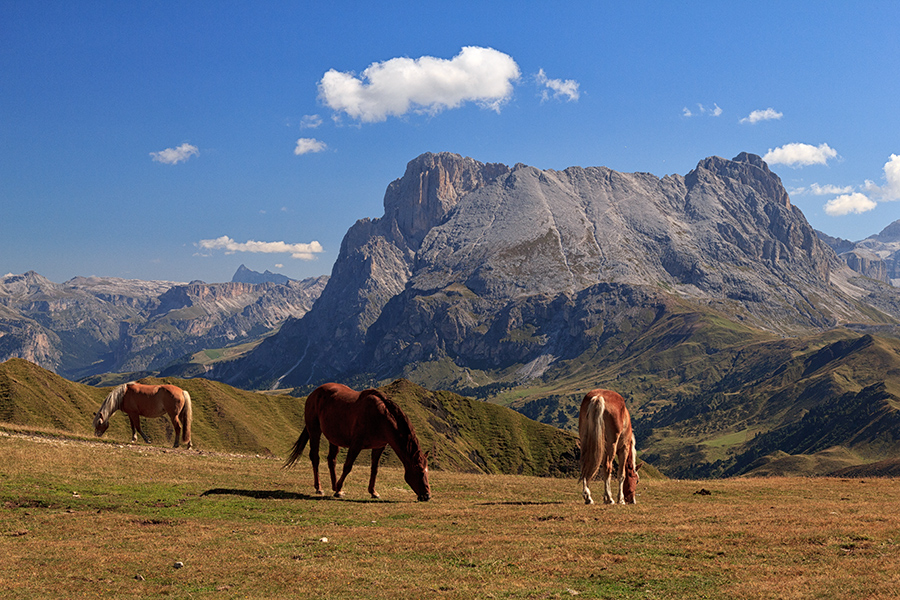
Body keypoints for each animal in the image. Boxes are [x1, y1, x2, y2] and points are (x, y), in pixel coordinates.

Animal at [284, 384, 432, 502]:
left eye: (427, 471)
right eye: (419, 470)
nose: (427, 496)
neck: (380, 418)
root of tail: (314, 393)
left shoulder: (379, 447)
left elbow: (374, 469)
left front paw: (373, 492)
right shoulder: (356, 444)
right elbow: (348, 466)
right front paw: (339, 488)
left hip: (334, 438)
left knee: (331, 460)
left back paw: (334, 487)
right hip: (314, 431)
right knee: (315, 457)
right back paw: (320, 488)